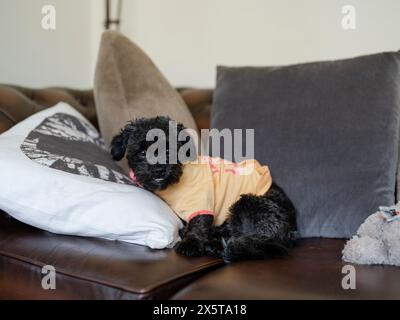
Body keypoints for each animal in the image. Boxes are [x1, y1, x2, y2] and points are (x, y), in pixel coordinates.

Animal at [110, 116, 296, 262]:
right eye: (142, 153)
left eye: (169, 150)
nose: (159, 169)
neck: (176, 181)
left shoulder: (201, 202)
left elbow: (198, 224)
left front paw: (190, 244)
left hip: (248, 203)